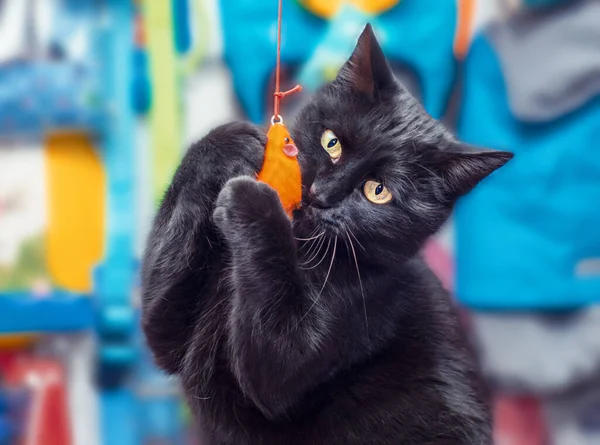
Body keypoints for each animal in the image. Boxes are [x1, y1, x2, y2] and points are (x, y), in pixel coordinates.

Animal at [142, 25, 510, 444]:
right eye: (331, 142)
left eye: (378, 190)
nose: (321, 193)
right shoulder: (169, 333)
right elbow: (159, 307)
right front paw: (232, 140)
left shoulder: (337, 324)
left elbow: (274, 366)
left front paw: (254, 202)